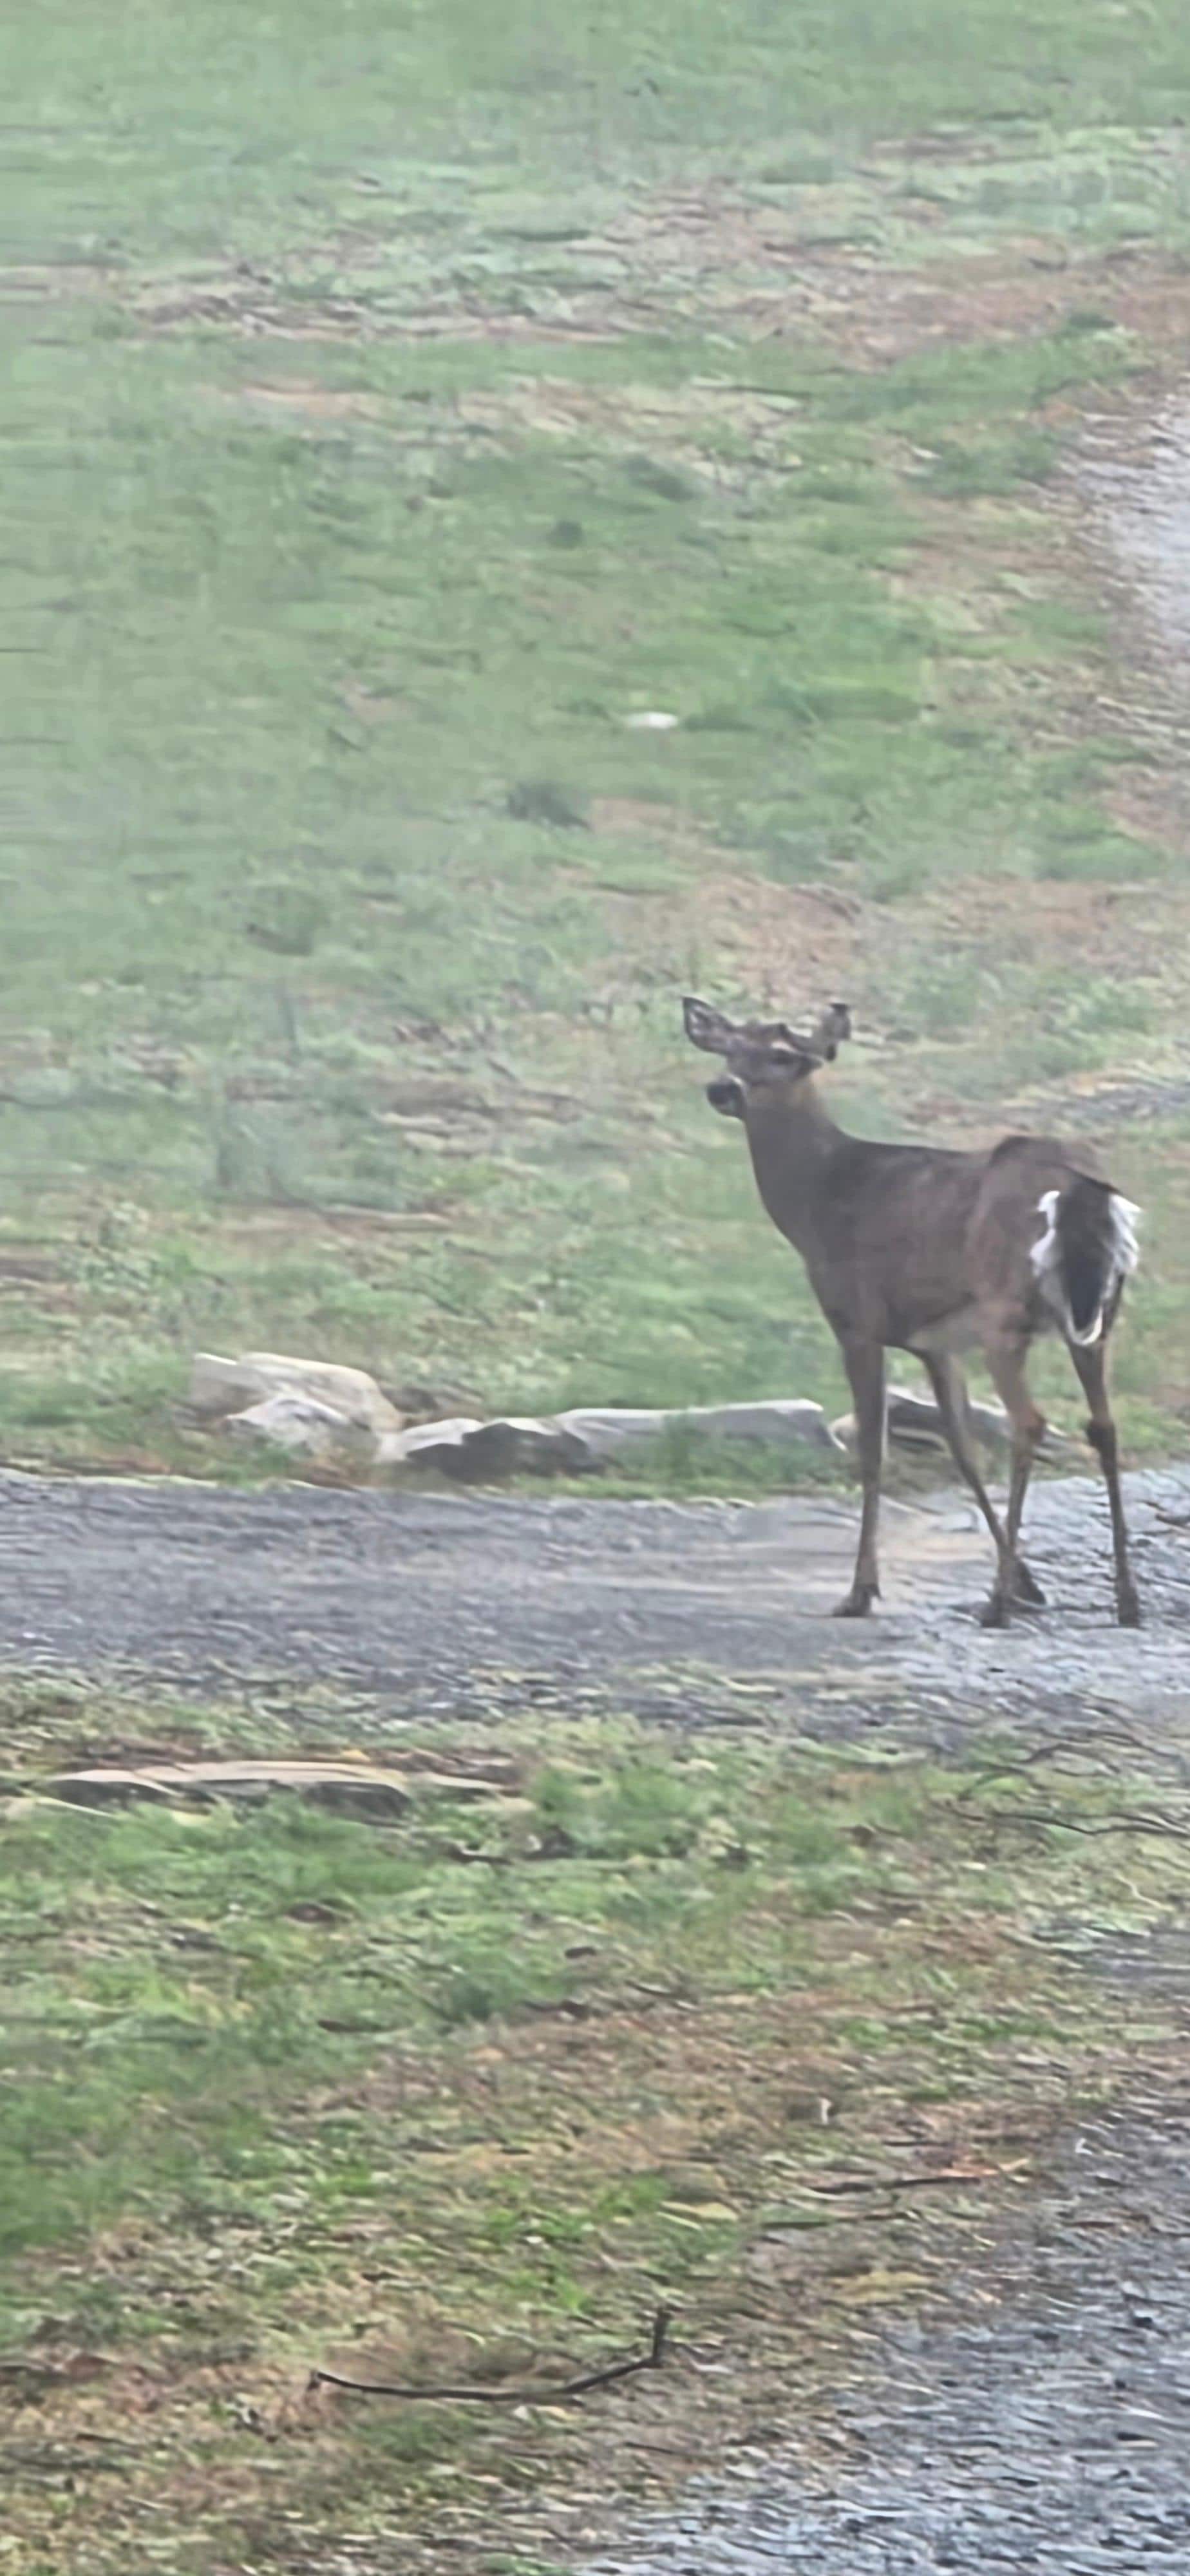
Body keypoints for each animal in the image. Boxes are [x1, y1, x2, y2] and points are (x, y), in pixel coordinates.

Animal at [683, 994, 1142, 1628]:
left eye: (782, 1056)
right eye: (729, 1049)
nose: (721, 1089)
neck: (817, 1201)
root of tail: (1080, 1192)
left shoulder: (856, 1320)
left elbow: (873, 1452)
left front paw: (860, 1591)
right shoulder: (936, 1343)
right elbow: (964, 1451)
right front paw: (1030, 1583)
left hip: (1004, 1314)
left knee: (1029, 1422)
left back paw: (996, 1603)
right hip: (1098, 1313)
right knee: (1104, 1426)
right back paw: (1126, 1599)